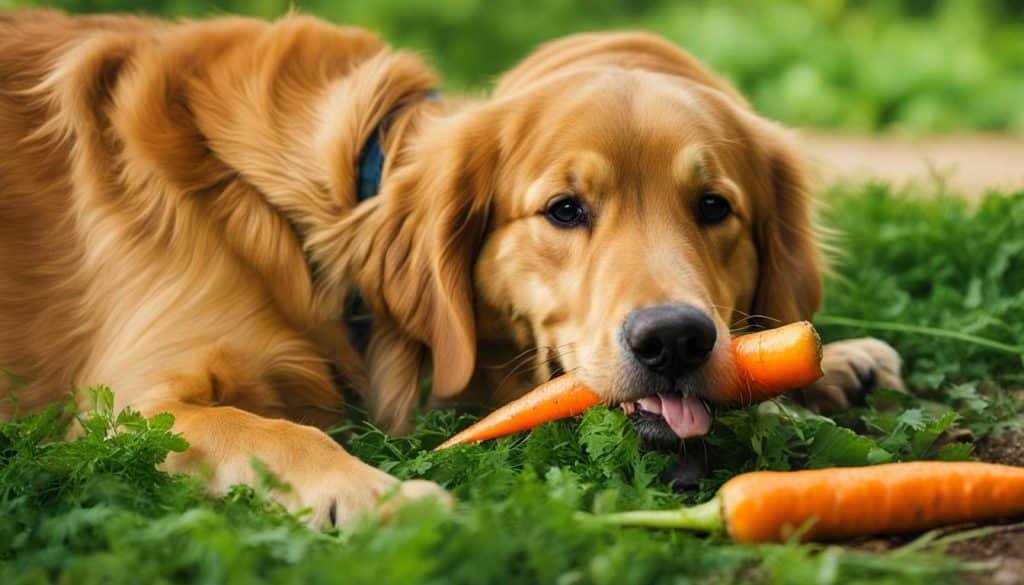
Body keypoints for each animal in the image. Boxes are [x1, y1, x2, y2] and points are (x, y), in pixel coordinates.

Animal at [0, 11, 905, 524]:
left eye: (714, 207)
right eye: (565, 209)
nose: (675, 340)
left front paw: (835, 359)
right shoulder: (128, 406)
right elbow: (269, 428)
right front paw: (374, 494)